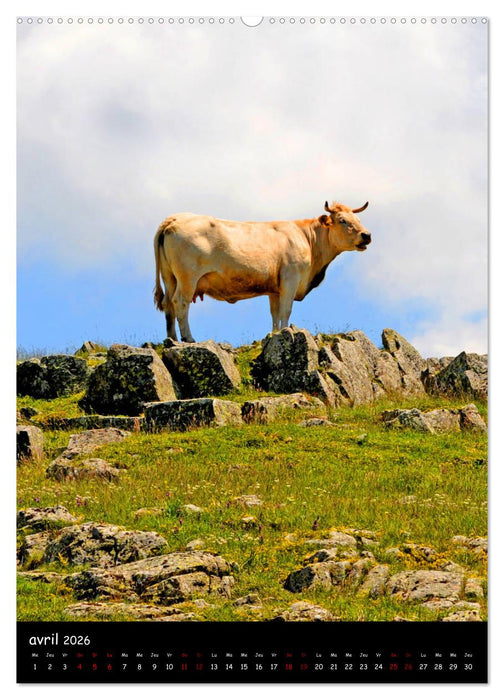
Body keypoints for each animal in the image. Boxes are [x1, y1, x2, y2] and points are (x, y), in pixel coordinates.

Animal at [154, 200, 371, 342]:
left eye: (358, 219)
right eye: (342, 220)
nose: (367, 235)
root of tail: (174, 218)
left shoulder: (274, 288)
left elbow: (274, 313)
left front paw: (274, 335)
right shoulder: (291, 279)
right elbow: (286, 310)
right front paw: (286, 332)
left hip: (169, 277)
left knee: (168, 304)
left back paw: (171, 339)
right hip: (188, 277)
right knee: (180, 302)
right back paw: (188, 338)